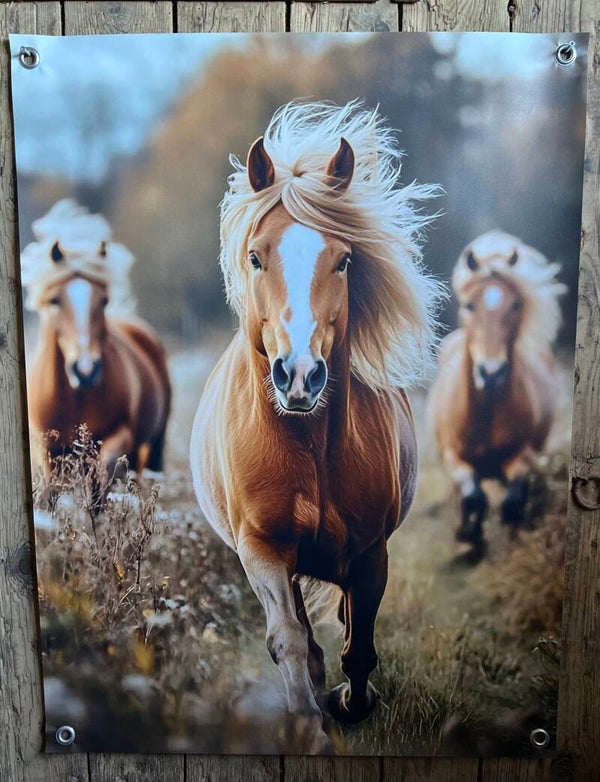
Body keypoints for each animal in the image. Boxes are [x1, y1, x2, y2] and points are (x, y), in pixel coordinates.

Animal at [21, 199, 171, 475]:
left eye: (104, 300)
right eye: (54, 300)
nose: (85, 369)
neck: (76, 398)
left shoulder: (119, 438)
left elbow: (103, 476)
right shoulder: (49, 454)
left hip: (154, 444)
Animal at [190, 101, 443, 751]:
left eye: (344, 259)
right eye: (256, 256)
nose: (299, 376)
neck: (306, 448)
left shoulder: (370, 552)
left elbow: (360, 645)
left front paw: (353, 705)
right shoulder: (262, 550)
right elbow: (290, 641)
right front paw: (310, 726)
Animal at [426, 231, 565, 545]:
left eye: (516, 305)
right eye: (469, 305)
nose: (491, 373)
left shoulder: (524, 455)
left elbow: (511, 497)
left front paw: (509, 524)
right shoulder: (452, 456)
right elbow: (473, 495)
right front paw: (468, 533)